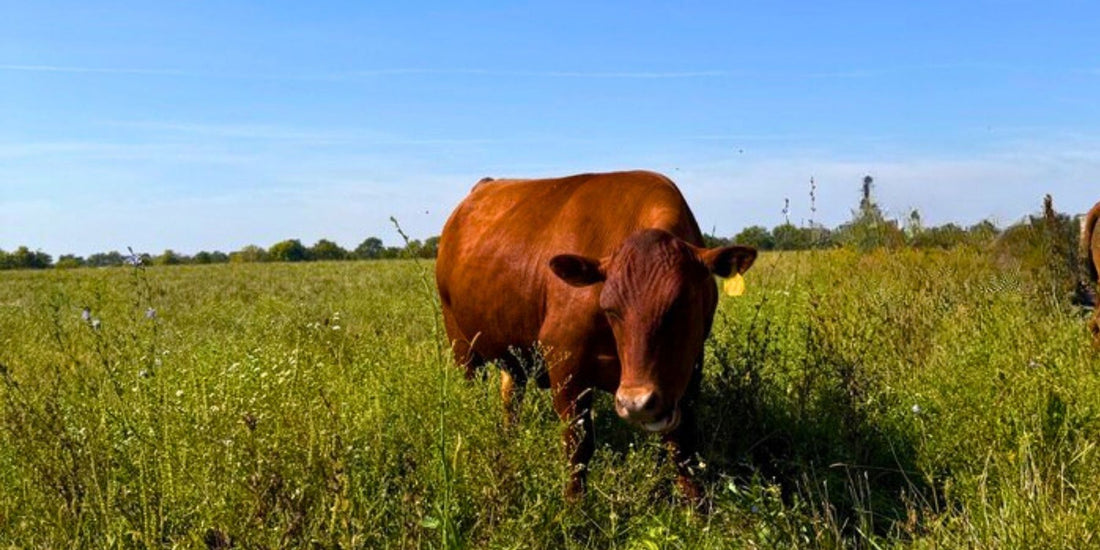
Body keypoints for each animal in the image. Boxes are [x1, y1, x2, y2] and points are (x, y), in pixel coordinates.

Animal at [435, 170, 757, 500]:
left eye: (682, 305)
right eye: (610, 309)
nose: (636, 403)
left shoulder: (688, 371)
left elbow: (682, 447)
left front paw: (696, 505)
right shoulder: (566, 369)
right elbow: (578, 447)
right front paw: (574, 505)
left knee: (510, 395)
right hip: (461, 343)